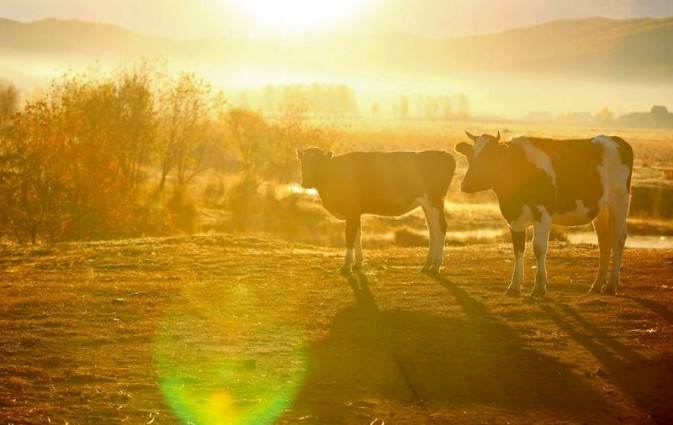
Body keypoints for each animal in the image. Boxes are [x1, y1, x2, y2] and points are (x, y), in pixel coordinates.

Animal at [296, 147, 454, 274]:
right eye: (303, 163)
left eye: (318, 163)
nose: (306, 182)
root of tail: (443, 153)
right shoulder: (355, 213)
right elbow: (358, 235)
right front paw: (357, 263)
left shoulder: (351, 211)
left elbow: (349, 236)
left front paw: (346, 266)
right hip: (428, 205)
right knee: (432, 230)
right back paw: (428, 265)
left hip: (433, 201)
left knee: (440, 228)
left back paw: (435, 266)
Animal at [454, 132, 632, 294]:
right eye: (470, 156)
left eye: (489, 156)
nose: (465, 185)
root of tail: (615, 139)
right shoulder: (514, 218)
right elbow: (518, 249)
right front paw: (514, 286)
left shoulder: (542, 215)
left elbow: (538, 248)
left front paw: (539, 286)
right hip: (601, 209)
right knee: (604, 240)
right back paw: (596, 285)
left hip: (619, 200)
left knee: (618, 238)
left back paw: (611, 285)